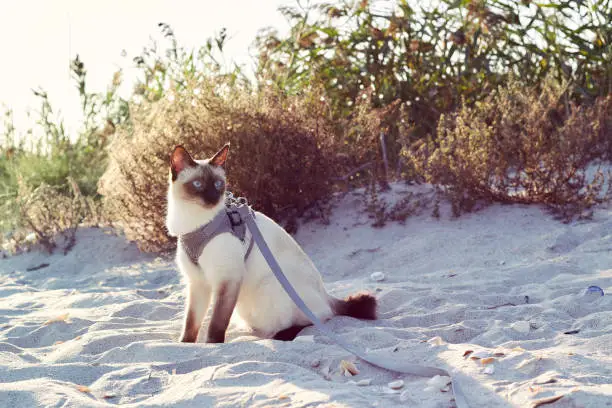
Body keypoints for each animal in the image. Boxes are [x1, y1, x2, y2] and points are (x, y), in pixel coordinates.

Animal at [165, 143, 376, 344]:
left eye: (218, 184)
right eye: (198, 184)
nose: (213, 199)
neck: (194, 224)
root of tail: (327, 296)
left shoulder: (228, 279)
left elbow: (216, 323)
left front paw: (212, 345)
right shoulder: (197, 282)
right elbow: (191, 322)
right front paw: (186, 344)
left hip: (269, 288)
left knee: (316, 320)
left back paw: (281, 335)